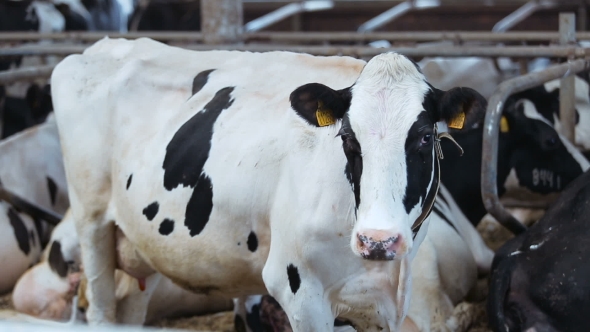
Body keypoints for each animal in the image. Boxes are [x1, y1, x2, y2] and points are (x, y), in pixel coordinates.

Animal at [51, 37, 490, 330]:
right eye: (348, 138)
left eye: (426, 138)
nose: (378, 240)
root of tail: (100, 48)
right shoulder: (298, 289)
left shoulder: (389, 300)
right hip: (92, 223)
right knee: (101, 307)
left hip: (143, 245)